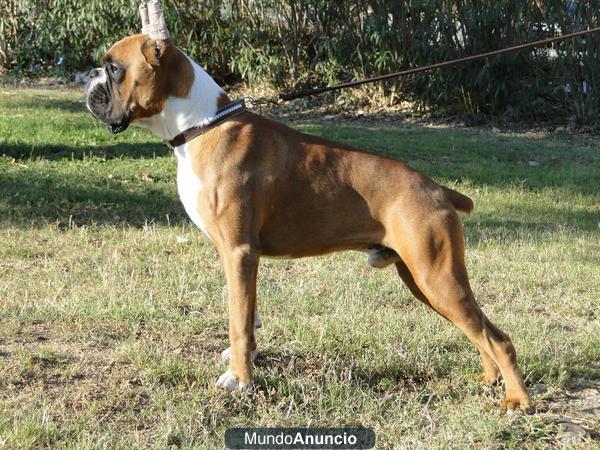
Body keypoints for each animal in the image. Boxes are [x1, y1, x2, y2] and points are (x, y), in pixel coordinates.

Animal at [83, 1, 528, 412]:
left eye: (114, 68)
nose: (87, 79)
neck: (201, 126)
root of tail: (437, 188)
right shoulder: (240, 257)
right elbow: (247, 313)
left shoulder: (240, 252)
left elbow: (238, 322)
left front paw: (240, 381)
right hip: (423, 280)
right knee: (479, 331)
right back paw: (489, 379)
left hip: (437, 276)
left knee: (499, 337)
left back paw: (517, 400)